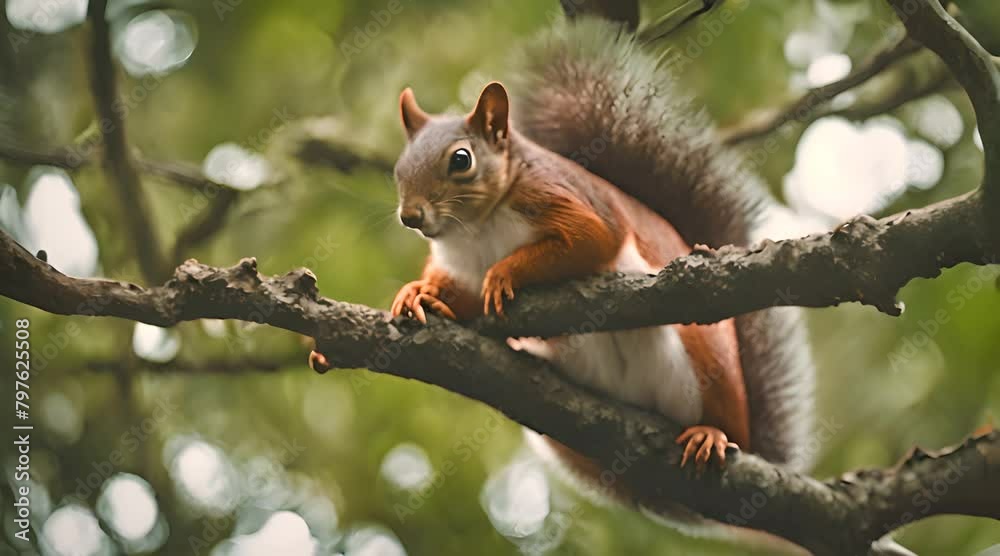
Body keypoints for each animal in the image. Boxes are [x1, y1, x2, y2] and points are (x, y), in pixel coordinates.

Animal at [312, 16, 814, 501]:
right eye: (400, 168)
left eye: (461, 160)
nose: (411, 216)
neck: (477, 229)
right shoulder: (456, 263)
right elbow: (459, 295)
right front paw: (421, 294)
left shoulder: (564, 203)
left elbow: (592, 240)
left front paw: (504, 274)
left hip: (706, 355)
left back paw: (712, 432)